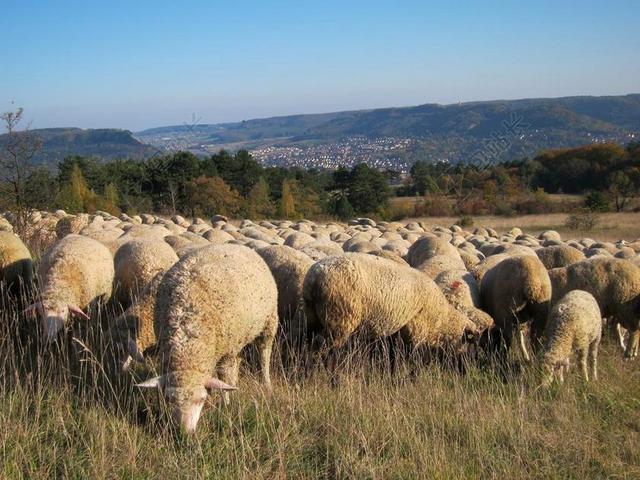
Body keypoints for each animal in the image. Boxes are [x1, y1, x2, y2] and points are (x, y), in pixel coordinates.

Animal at [138, 246, 278, 434]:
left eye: (202, 400)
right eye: (169, 399)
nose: (184, 433)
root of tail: (239, 246)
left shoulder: (226, 351)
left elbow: (225, 376)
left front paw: (226, 404)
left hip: (269, 322)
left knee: (264, 354)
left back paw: (266, 383)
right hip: (239, 338)